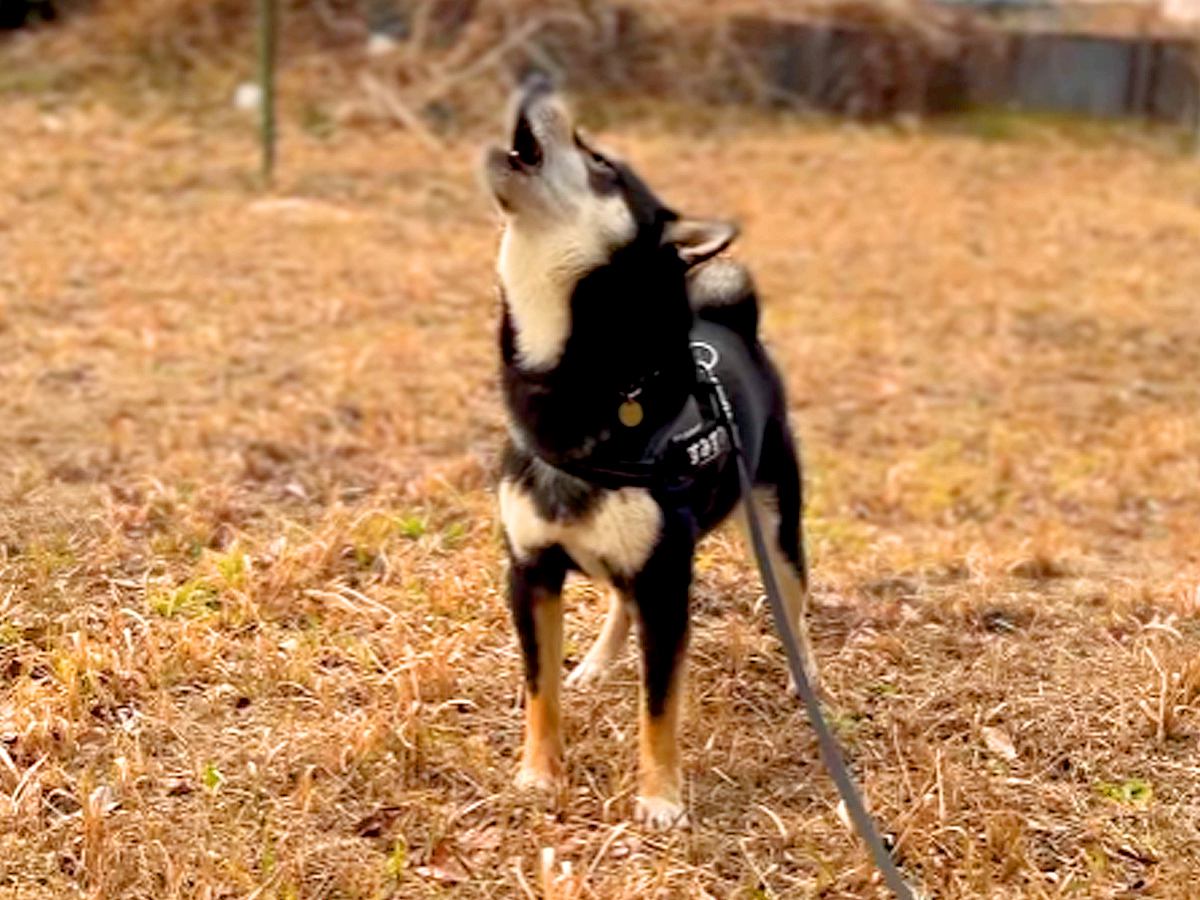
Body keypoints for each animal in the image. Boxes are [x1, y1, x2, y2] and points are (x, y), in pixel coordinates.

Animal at [480, 77, 816, 830]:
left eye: (601, 162)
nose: (537, 83)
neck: (581, 385)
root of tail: (734, 323)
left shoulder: (667, 585)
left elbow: (659, 706)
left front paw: (659, 797)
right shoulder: (531, 571)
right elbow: (539, 689)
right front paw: (539, 774)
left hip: (778, 529)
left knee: (795, 603)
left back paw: (807, 677)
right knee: (616, 601)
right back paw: (598, 663)